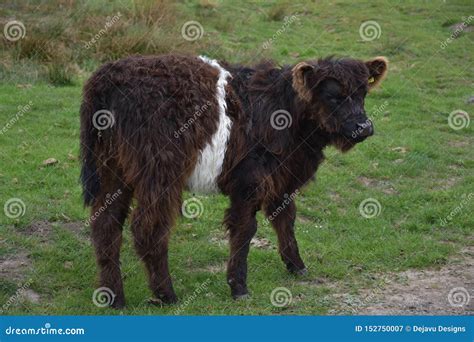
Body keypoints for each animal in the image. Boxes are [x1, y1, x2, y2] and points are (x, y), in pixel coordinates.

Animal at [78, 54, 388, 308]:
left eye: (363, 93)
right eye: (333, 96)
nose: (364, 127)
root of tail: (106, 75)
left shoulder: (279, 181)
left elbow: (286, 218)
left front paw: (296, 265)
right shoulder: (249, 182)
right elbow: (245, 230)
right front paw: (239, 287)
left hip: (112, 171)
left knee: (106, 224)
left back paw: (113, 298)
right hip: (159, 173)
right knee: (148, 229)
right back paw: (167, 294)